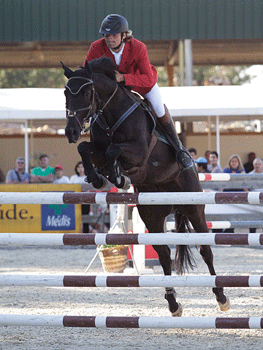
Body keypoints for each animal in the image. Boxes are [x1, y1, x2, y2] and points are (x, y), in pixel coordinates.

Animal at [62, 56, 229, 314]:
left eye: (87, 92)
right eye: (65, 93)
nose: (70, 131)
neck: (110, 115)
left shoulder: (139, 152)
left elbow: (114, 150)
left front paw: (118, 176)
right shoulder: (98, 150)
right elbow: (86, 149)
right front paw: (98, 177)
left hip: (193, 206)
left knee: (205, 249)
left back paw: (221, 297)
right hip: (152, 214)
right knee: (164, 254)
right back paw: (173, 302)